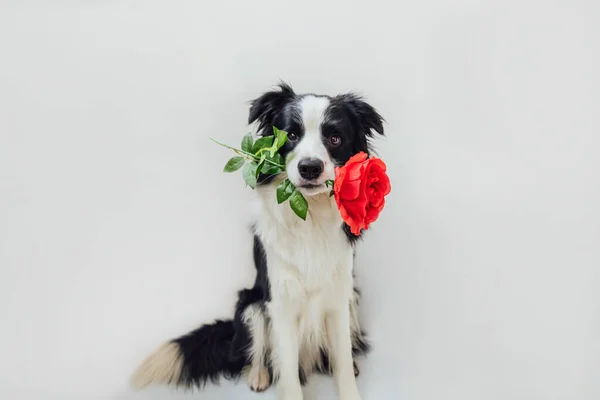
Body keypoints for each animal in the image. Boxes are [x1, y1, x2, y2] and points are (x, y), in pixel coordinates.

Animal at [131, 83, 384, 398]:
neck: (310, 217)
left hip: (352, 298)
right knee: (259, 352)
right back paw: (258, 375)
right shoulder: (281, 302)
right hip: (250, 304)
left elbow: (343, 365)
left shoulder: (339, 298)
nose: (309, 168)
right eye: (291, 135)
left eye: (335, 138)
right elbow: (288, 373)